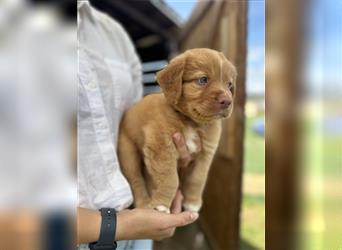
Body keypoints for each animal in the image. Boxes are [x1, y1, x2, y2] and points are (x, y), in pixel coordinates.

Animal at [117, 48, 235, 213]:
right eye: (203, 80)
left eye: (229, 85)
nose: (227, 101)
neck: (191, 122)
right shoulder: (161, 148)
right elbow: (170, 179)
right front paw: (161, 205)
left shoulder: (205, 154)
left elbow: (197, 178)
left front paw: (192, 202)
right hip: (128, 154)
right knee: (136, 181)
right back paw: (145, 203)